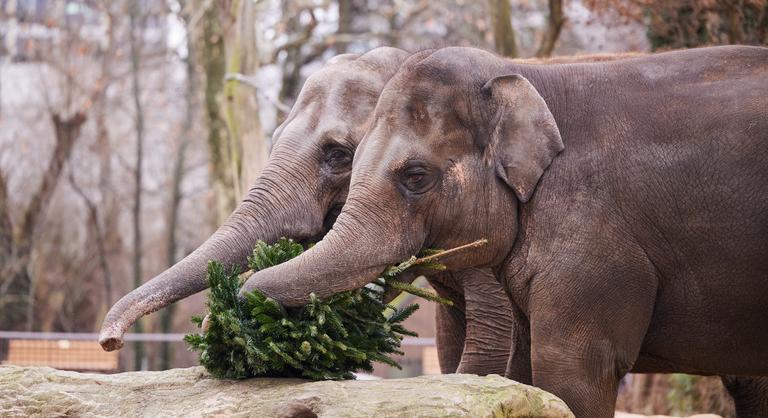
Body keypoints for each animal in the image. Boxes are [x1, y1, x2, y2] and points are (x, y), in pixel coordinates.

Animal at [243, 44, 768, 416]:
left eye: (415, 176)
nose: (239, 299)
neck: (521, 73)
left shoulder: (594, 237)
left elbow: (565, 373)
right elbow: (516, 366)